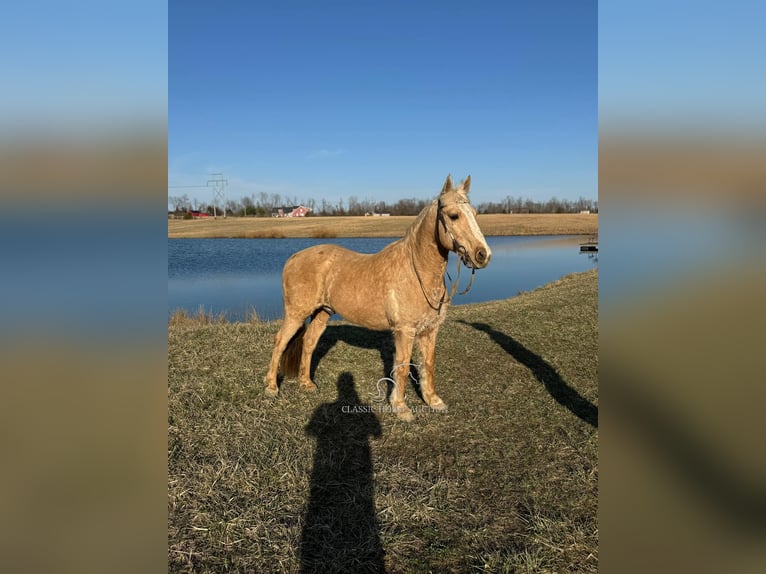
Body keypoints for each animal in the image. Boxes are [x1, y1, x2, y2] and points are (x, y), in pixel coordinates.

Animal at [264, 173, 492, 420]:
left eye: (475, 214)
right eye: (453, 215)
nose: (483, 255)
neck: (416, 272)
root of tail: (294, 257)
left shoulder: (430, 331)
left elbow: (428, 364)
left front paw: (433, 401)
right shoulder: (404, 331)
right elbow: (402, 367)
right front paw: (401, 407)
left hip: (322, 312)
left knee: (309, 343)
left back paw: (306, 384)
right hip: (296, 314)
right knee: (280, 342)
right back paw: (271, 387)